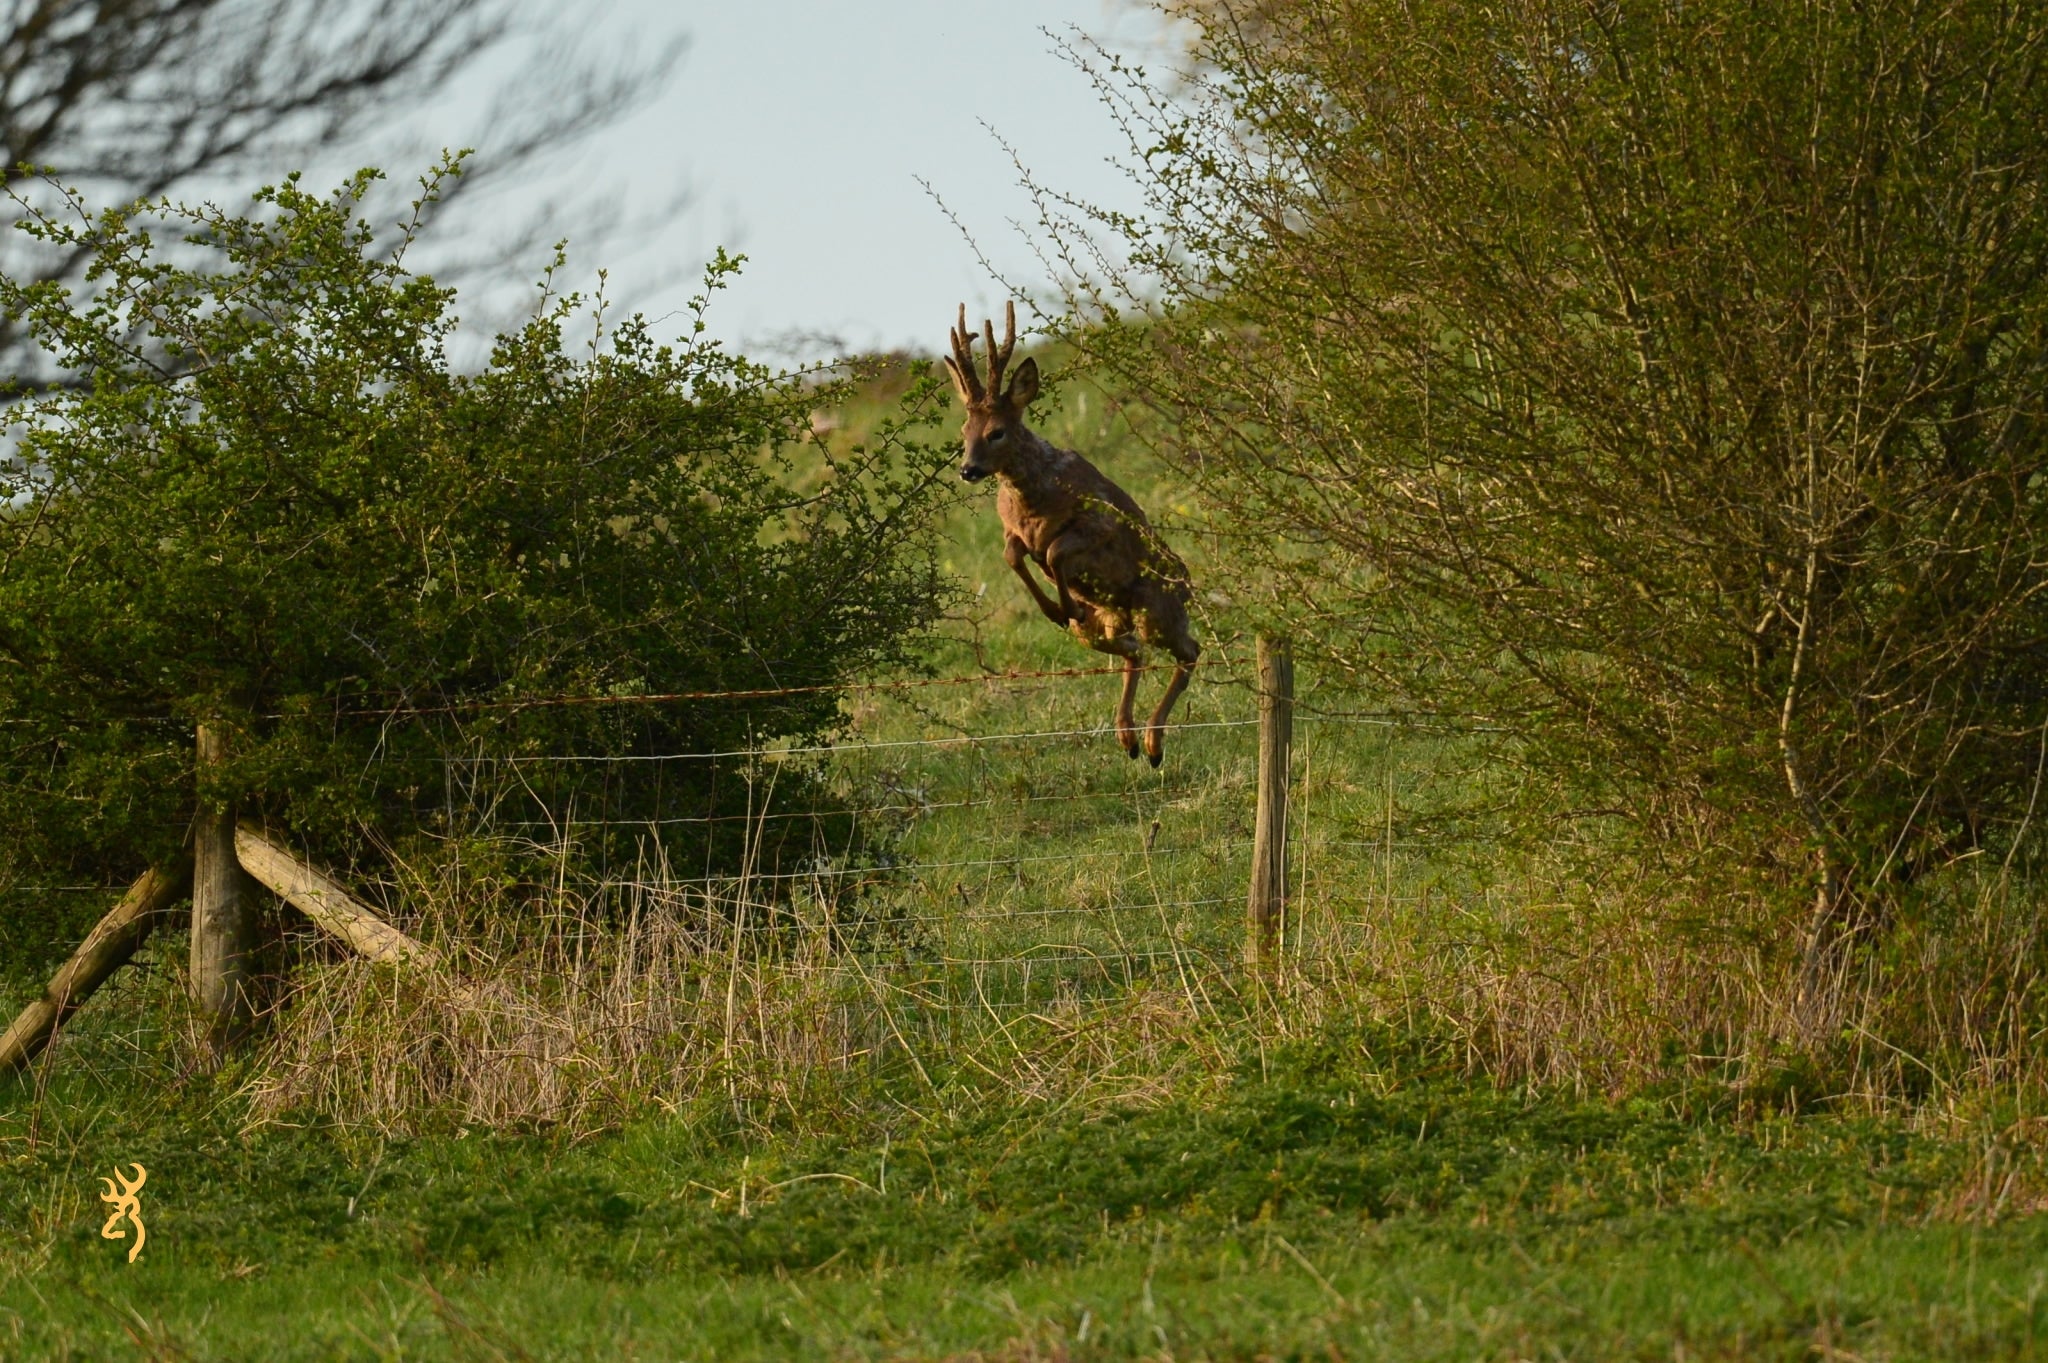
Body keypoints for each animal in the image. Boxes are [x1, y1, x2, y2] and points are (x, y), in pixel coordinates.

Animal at [946, 300, 1196, 757]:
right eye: (964, 431)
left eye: (996, 432)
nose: (967, 470)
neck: (1035, 498)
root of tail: (1189, 586)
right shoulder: (1012, 531)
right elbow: (1014, 555)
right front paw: (1056, 609)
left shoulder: (1099, 521)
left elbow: (1054, 551)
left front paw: (1063, 607)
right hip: (1103, 628)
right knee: (1135, 653)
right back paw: (1129, 737)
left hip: (1156, 610)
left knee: (1188, 652)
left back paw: (1152, 742)